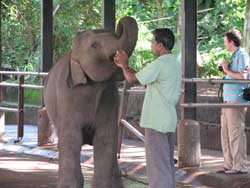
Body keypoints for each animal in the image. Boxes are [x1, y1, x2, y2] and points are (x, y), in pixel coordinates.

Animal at [42, 16, 137, 188]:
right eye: (94, 45)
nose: (119, 26)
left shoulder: (110, 97)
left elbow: (105, 138)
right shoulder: (67, 97)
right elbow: (72, 138)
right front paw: (69, 185)